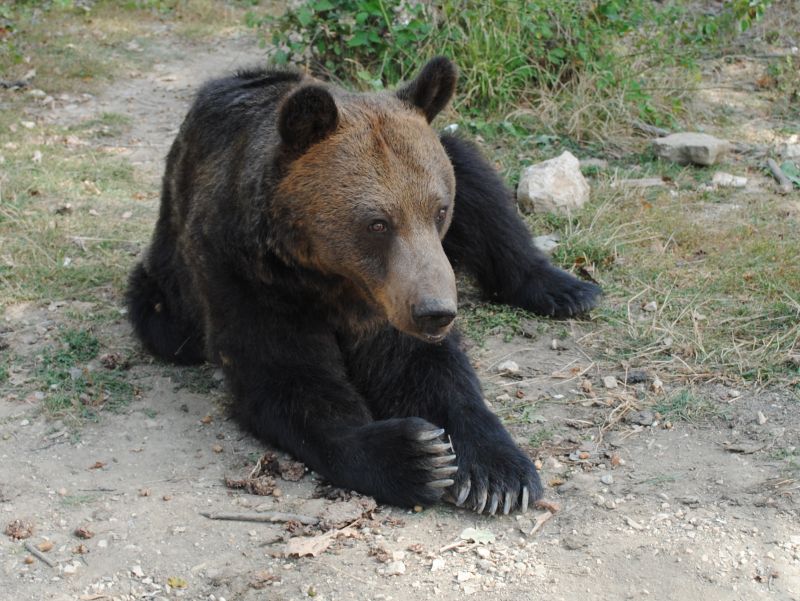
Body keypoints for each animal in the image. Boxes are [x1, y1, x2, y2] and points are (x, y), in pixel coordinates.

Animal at [126, 56, 600, 512]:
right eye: (378, 223)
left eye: (439, 210)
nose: (436, 312)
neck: (326, 275)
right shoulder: (247, 276)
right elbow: (286, 376)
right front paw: (414, 455)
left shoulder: (389, 294)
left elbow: (423, 369)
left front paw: (497, 474)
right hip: (168, 295)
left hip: (452, 158)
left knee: (481, 186)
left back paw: (566, 290)